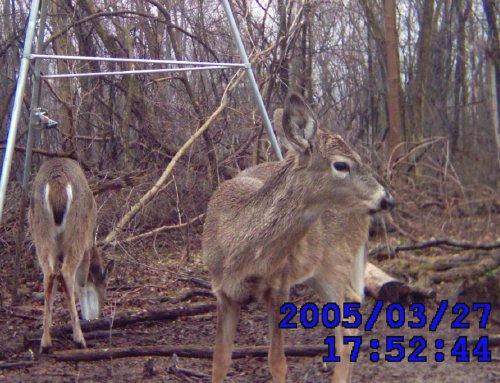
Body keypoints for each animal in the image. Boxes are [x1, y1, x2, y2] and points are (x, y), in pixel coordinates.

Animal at [30, 158, 114, 352]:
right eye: (105, 285)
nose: (100, 311)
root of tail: (56, 186)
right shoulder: (87, 245)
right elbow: (82, 283)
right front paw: (87, 317)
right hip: (78, 232)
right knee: (67, 273)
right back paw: (79, 339)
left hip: (41, 233)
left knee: (49, 275)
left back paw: (45, 342)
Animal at [203, 94, 394, 383]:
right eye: (341, 164)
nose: (386, 198)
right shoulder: (223, 293)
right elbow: (220, 360)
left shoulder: (279, 287)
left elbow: (277, 362)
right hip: (318, 272)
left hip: (335, 265)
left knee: (346, 333)